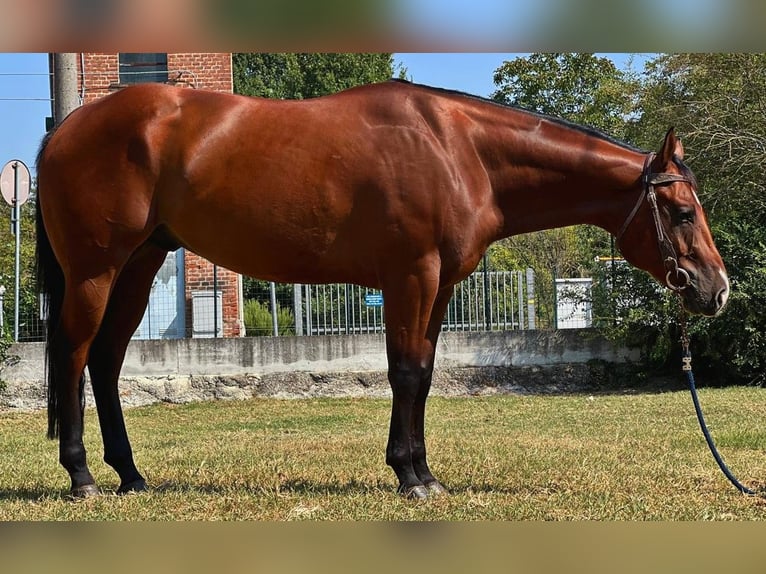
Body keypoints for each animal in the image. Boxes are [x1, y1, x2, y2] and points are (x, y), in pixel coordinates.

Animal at [36, 79, 732, 502]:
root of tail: (65, 129)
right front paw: (408, 474)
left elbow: (422, 373)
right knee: (73, 355)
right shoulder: (410, 276)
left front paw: (422, 471)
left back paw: (131, 475)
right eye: (683, 213)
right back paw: (81, 475)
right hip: (98, 270)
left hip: (140, 264)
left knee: (105, 361)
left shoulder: (440, 286)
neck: (460, 150)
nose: (717, 291)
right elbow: (403, 372)